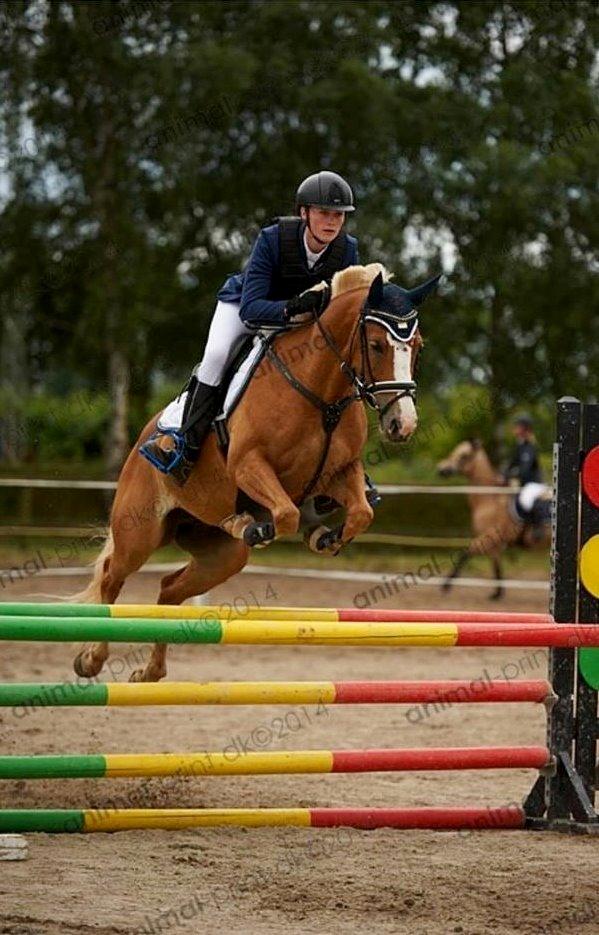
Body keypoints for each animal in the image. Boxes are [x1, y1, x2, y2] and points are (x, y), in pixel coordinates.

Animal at [72, 263, 440, 682]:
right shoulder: (249, 465)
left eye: (418, 347)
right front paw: (256, 527)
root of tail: (141, 442)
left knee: (169, 589)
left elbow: (361, 512)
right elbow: (285, 513)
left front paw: (324, 537)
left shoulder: (341, 472)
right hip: (140, 531)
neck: (321, 393)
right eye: (377, 345)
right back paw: (91, 659)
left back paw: (149, 672)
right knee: (112, 576)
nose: (402, 425)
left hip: (221, 555)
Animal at [436, 438, 550, 600]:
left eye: (464, 455)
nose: (441, 469)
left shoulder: (489, 537)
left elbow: (465, 554)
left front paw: (445, 586)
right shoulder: (494, 542)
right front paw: (497, 593)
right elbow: (496, 564)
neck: (489, 499)